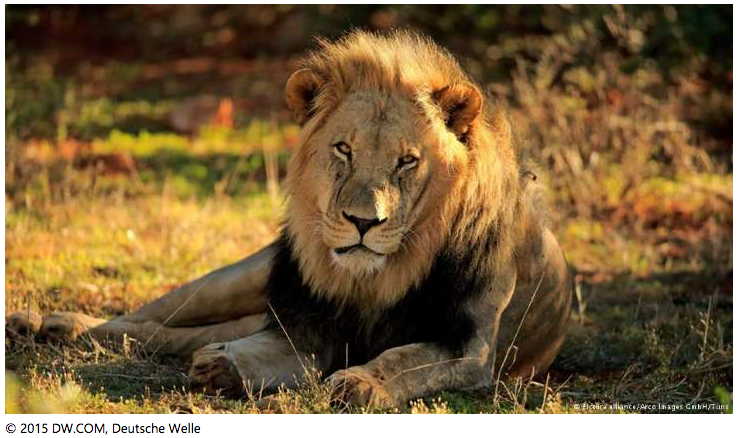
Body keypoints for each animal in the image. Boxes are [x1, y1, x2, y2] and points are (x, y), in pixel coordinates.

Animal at [6, 30, 572, 407]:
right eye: (344, 149)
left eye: (407, 161)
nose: (362, 222)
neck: (378, 276)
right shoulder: (303, 327)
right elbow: (259, 349)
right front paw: (223, 367)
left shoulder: (469, 348)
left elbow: (408, 359)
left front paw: (362, 381)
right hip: (239, 277)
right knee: (151, 318)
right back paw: (49, 324)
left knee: (168, 334)